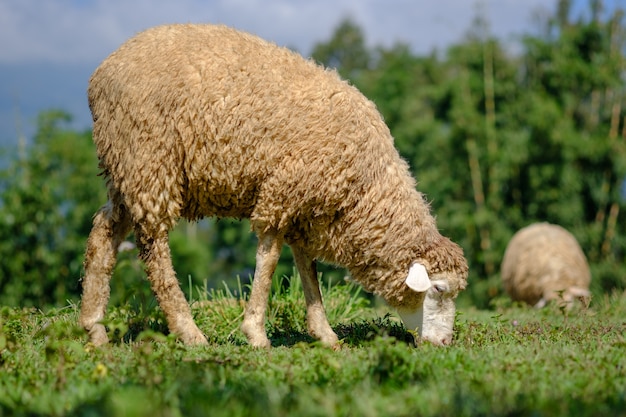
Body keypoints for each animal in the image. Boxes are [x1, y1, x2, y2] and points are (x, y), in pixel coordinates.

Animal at [79, 23, 468, 348]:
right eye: (438, 289)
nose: (445, 343)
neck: (367, 187)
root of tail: (101, 73)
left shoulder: (307, 210)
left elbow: (307, 267)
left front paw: (324, 334)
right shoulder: (283, 193)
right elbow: (269, 259)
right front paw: (256, 333)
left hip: (125, 168)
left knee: (104, 231)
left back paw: (93, 327)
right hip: (148, 159)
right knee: (154, 246)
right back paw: (188, 331)